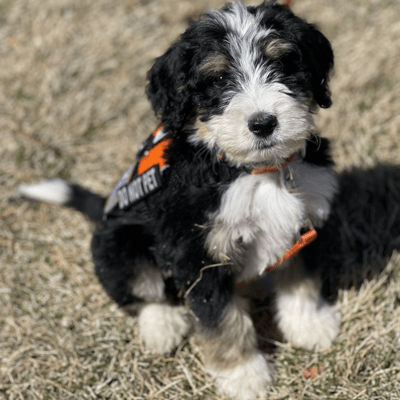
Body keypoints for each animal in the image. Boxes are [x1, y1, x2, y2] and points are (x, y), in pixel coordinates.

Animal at [15, 1, 340, 398]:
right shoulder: (196, 254)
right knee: (144, 289)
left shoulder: (302, 221)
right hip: (119, 242)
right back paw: (163, 326)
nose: (263, 123)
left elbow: (300, 281)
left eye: (283, 64)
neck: (252, 172)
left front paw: (310, 325)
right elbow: (223, 321)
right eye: (218, 80)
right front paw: (245, 376)